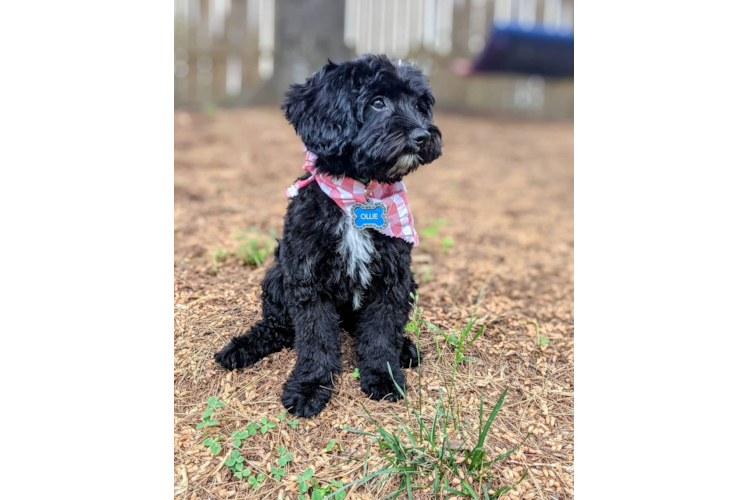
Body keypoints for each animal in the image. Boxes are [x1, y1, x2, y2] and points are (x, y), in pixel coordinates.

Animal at [213, 54, 442, 418]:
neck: (359, 192)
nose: (422, 135)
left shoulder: (392, 278)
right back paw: (242, 347)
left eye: (421, 106)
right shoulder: (308, 279)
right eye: (377, 102)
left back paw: (405, 348)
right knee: (278, 327)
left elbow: (380, 333)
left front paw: (384, 377)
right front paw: (310, 387)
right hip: (277, 275)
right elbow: (316, 338)